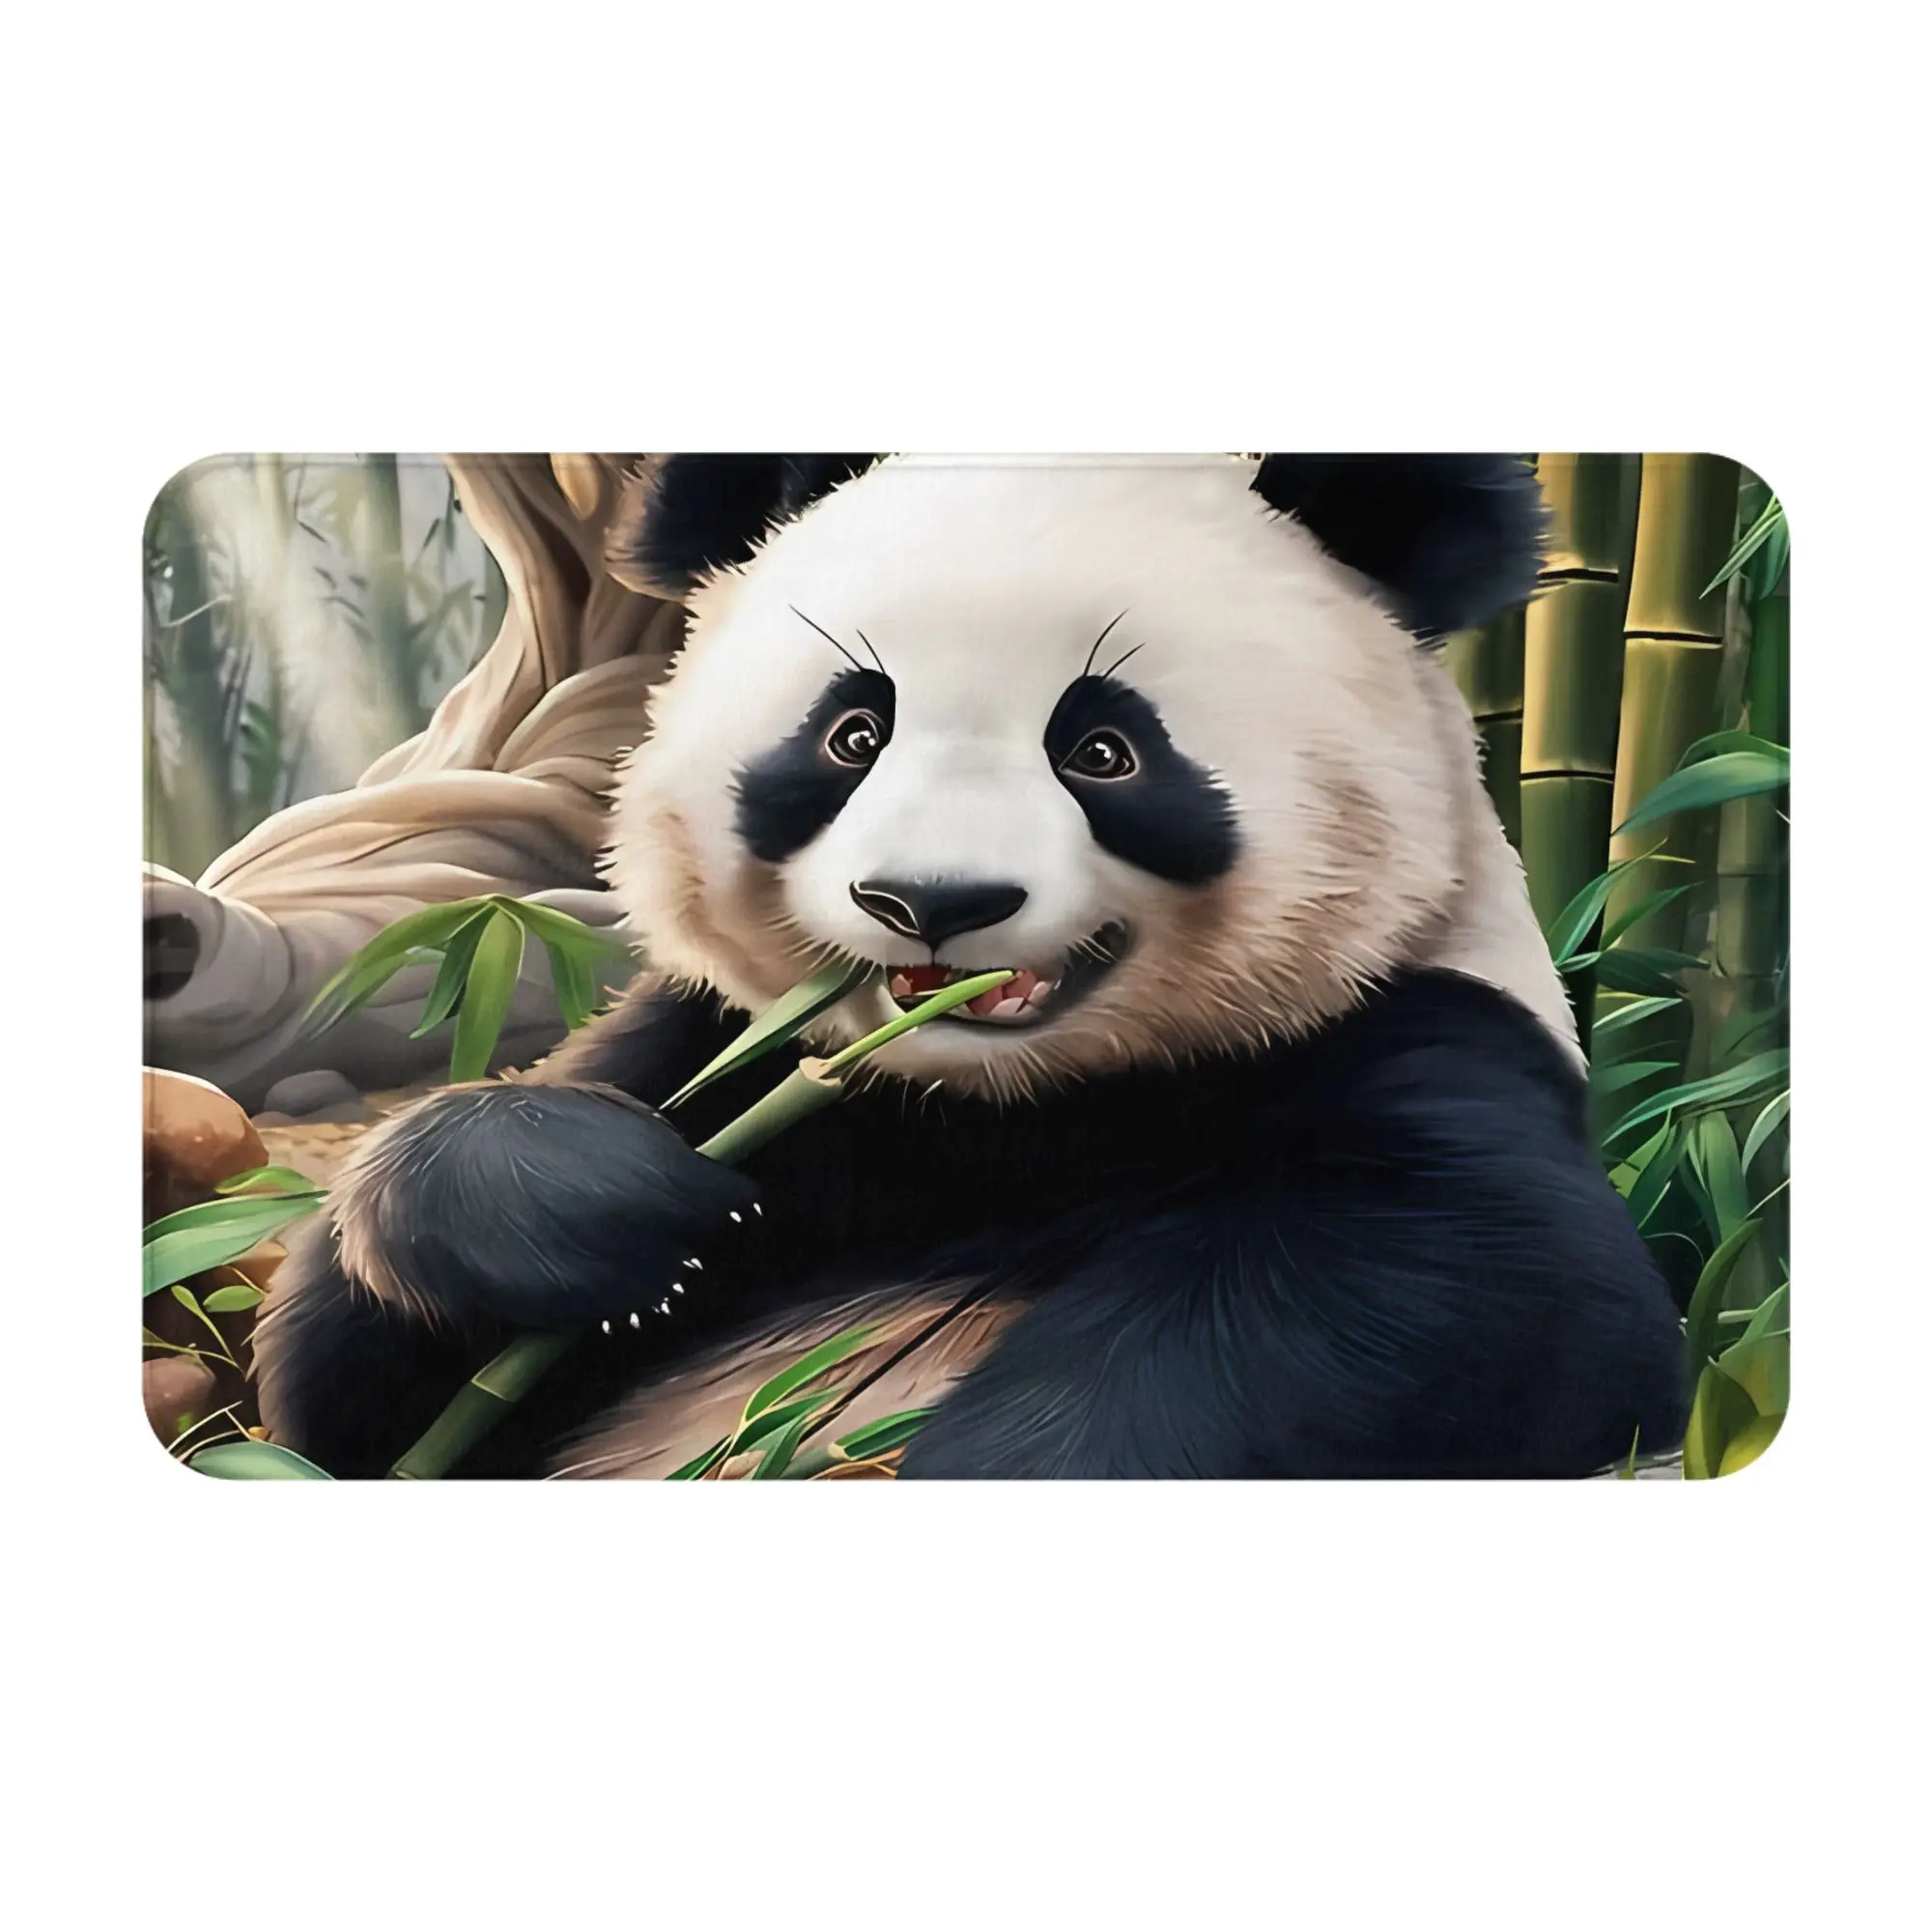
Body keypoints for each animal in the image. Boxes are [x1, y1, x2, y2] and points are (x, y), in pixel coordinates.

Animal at [252, 452, 1689, 1479]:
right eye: (851, 732)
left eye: (1102, 750)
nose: (931, 903)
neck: (1008, 1104)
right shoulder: (759, 1065)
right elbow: (354, 1404)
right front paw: (614, 1208)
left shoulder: (1418, 1039)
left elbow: (1484, 1302)